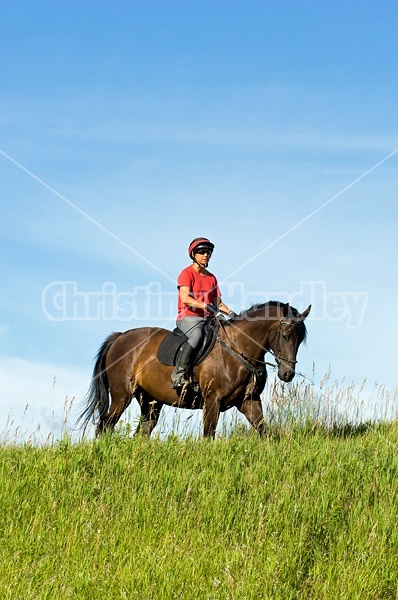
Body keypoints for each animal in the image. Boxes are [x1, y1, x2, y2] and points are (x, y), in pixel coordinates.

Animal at [76, 302, 310, 438]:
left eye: (300, 339)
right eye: (285, 335)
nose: (287, 374)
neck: (239, 347)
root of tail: (120, 337)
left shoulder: (249, 401)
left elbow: (265, 431)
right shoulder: (212, 401)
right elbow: (208, 435)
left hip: (150, 402)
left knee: (141, 432)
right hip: (121, 395)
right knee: (104, 425)